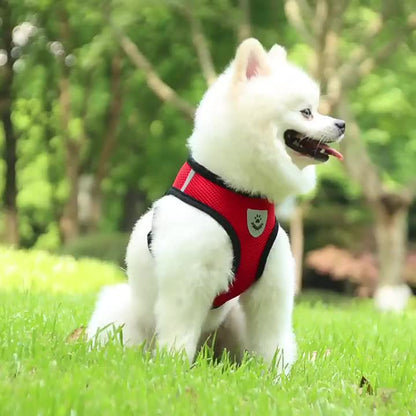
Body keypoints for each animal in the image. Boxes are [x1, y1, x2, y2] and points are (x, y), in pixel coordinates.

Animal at [88, 39, 344, 376]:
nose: (341, 124)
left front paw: (275, 375)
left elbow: (271, 338)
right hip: (126, 311)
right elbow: (179, 332)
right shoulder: (188, 280)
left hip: (232, 318)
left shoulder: (270, 286)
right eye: (307, 112)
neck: (240, 193)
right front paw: (174, 368)